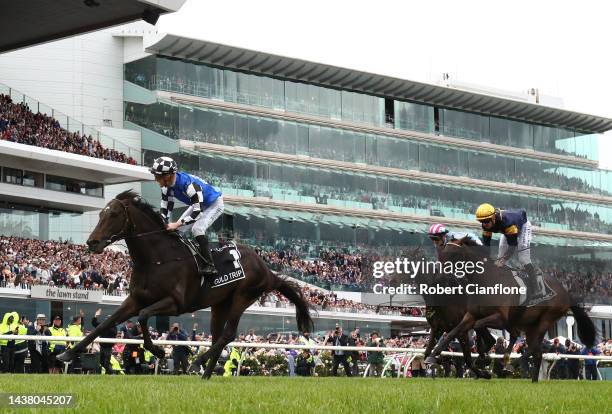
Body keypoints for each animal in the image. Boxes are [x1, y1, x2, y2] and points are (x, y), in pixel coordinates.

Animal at [56, 191, 316, 378]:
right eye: (100, 214)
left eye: (114, 215)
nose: (92, 242)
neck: (156, 259)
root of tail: (268, 270)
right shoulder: (135, 299)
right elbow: (105, 324)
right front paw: (68, 353)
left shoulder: (175, 303)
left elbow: (143, 316)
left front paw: (158, 350)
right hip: (219, 304)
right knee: (218, 336)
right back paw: (206, 374)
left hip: (243, 296)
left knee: (228, 334)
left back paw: (196, 363)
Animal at [424, 238, 596, 384]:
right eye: (442, 252)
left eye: (453, 254)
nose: (438, 273)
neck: (486, 280)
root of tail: (566, 292)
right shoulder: (470, 315)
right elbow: (452, 333)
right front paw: (431, 357)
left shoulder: (501, 318)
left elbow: (479, 327)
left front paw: (483, 358)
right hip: (530, 326)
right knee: (537, 351)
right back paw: (532, 379)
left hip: (547, 319)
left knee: (532, 346)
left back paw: (511, 364)